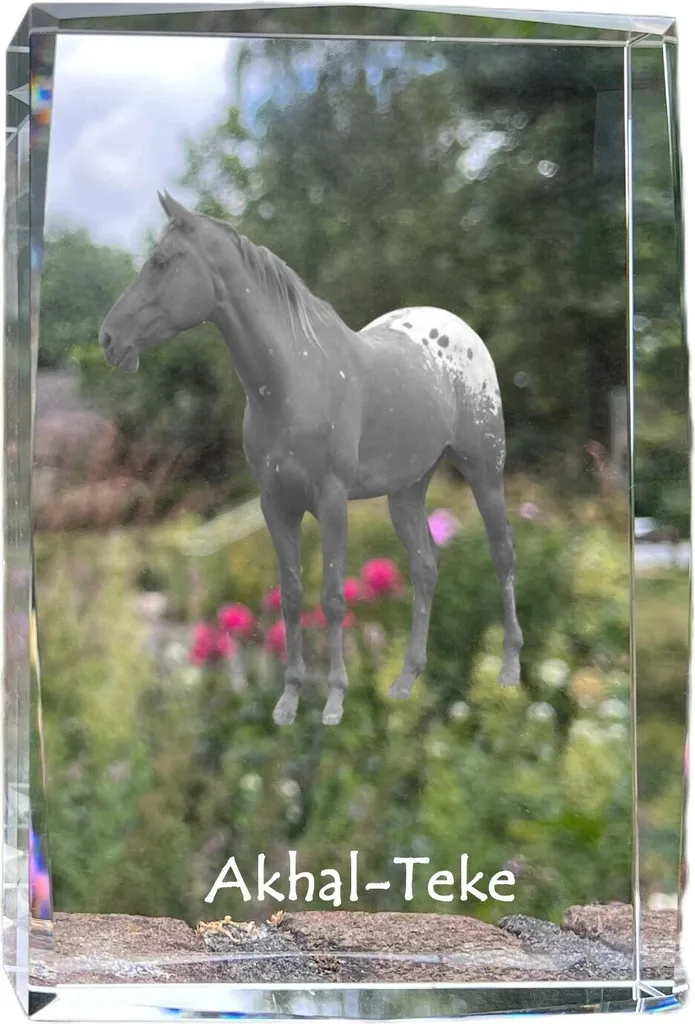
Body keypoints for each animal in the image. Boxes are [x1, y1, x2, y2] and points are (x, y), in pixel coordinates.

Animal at [99, 190, 523, 727]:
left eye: (162, 261)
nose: (109, 339)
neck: (293, 380)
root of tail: (459, 328)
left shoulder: (332, 501)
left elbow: (334, 598)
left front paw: (335, 702)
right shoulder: (276, 504)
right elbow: (293, 597)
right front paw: (288, 701)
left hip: (484, 470)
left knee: (502, 554)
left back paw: (509, 670)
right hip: (407, 490)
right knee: (426, 566)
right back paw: (406, 681)